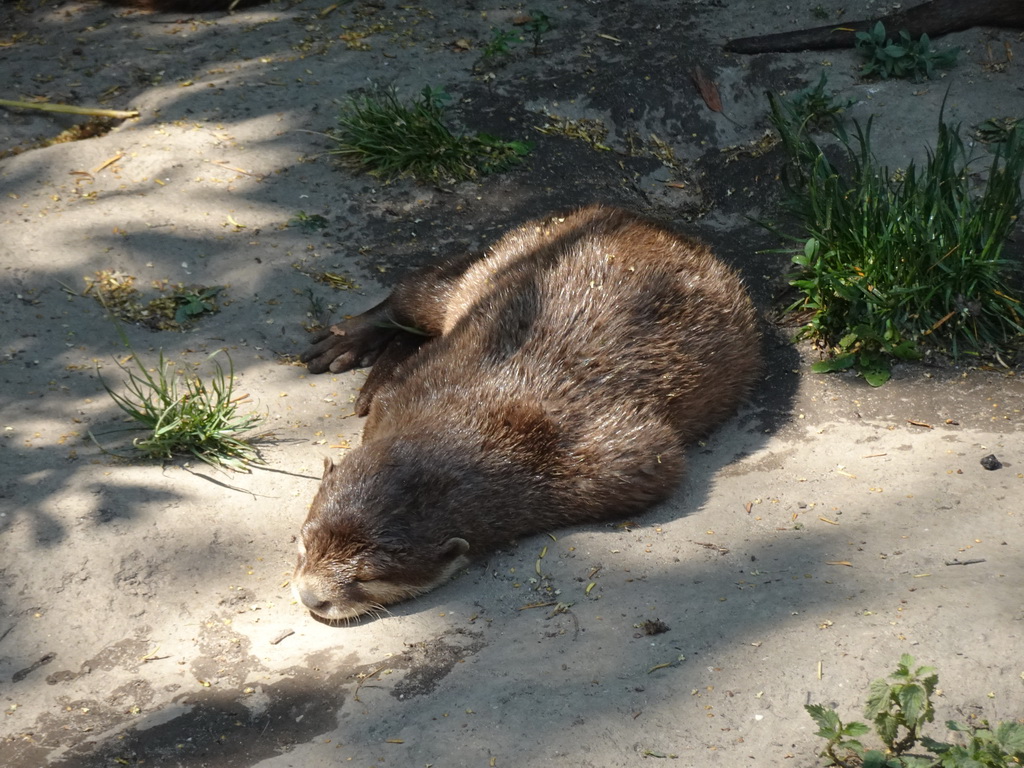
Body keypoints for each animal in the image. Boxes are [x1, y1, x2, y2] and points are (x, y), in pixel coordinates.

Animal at [292, 207, 757, 622]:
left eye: (366, 578)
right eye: (304, 540)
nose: (311, 597)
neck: (480, 418)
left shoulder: (623, 460)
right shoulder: (415, 383)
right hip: (498, 259)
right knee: (415, 293)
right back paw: (347, 340)